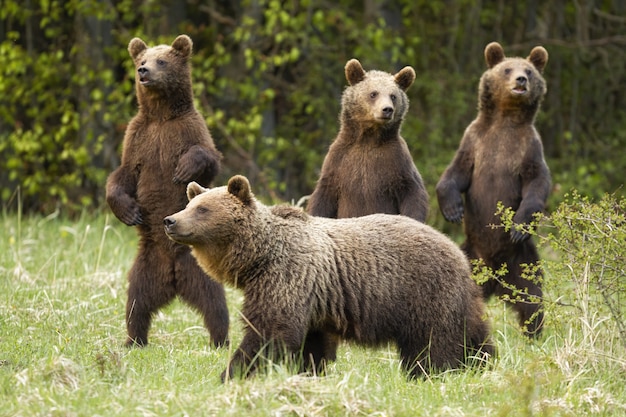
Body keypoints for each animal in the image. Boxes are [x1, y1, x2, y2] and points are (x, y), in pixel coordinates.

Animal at [105, 35, 229, 348]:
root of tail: (173, 278)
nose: (143, 71)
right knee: (136, 304)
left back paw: (220, 339)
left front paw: (183, 169)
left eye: (161, 60)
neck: (161, 115)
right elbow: (122, 175)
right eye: (141, 59)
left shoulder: (189, 129)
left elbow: (208, 158)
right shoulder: (138, 139)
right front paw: (130, 212)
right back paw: (133, 339)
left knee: (215, 303)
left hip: (198, 269)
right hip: (144, 267)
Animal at [162, 176, 492, 380]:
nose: (170, 220)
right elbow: (310, 342)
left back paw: (433, 372)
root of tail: (456, 250)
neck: (259, 257)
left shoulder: (287, 276)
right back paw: (481, 363)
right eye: (189, 204)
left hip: (424, 291)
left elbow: (269, 332)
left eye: (203, 209)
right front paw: (308, 371)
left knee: (434, 341)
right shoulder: (314, 297)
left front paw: (232, 373)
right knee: (473, 331)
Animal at [304, 59, 426, 221]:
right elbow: (323, 197)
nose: (387, 109)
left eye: (393, 96)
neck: (368, 138)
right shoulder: (338, 162)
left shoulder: (397, 160)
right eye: (373, 93)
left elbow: (412, 191)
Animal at [436, 42, 548, 336]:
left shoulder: (529, 148)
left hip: (522, 261)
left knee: (531, 296)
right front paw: (453, 210)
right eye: (507, 69)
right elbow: (455, 173)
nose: (520, 80)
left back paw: (534, 332)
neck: (505, 120)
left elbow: (537, 184)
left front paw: (519, 225)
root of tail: (495, 280)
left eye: (529, 71)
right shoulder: (474, 141)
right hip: (469, 255)